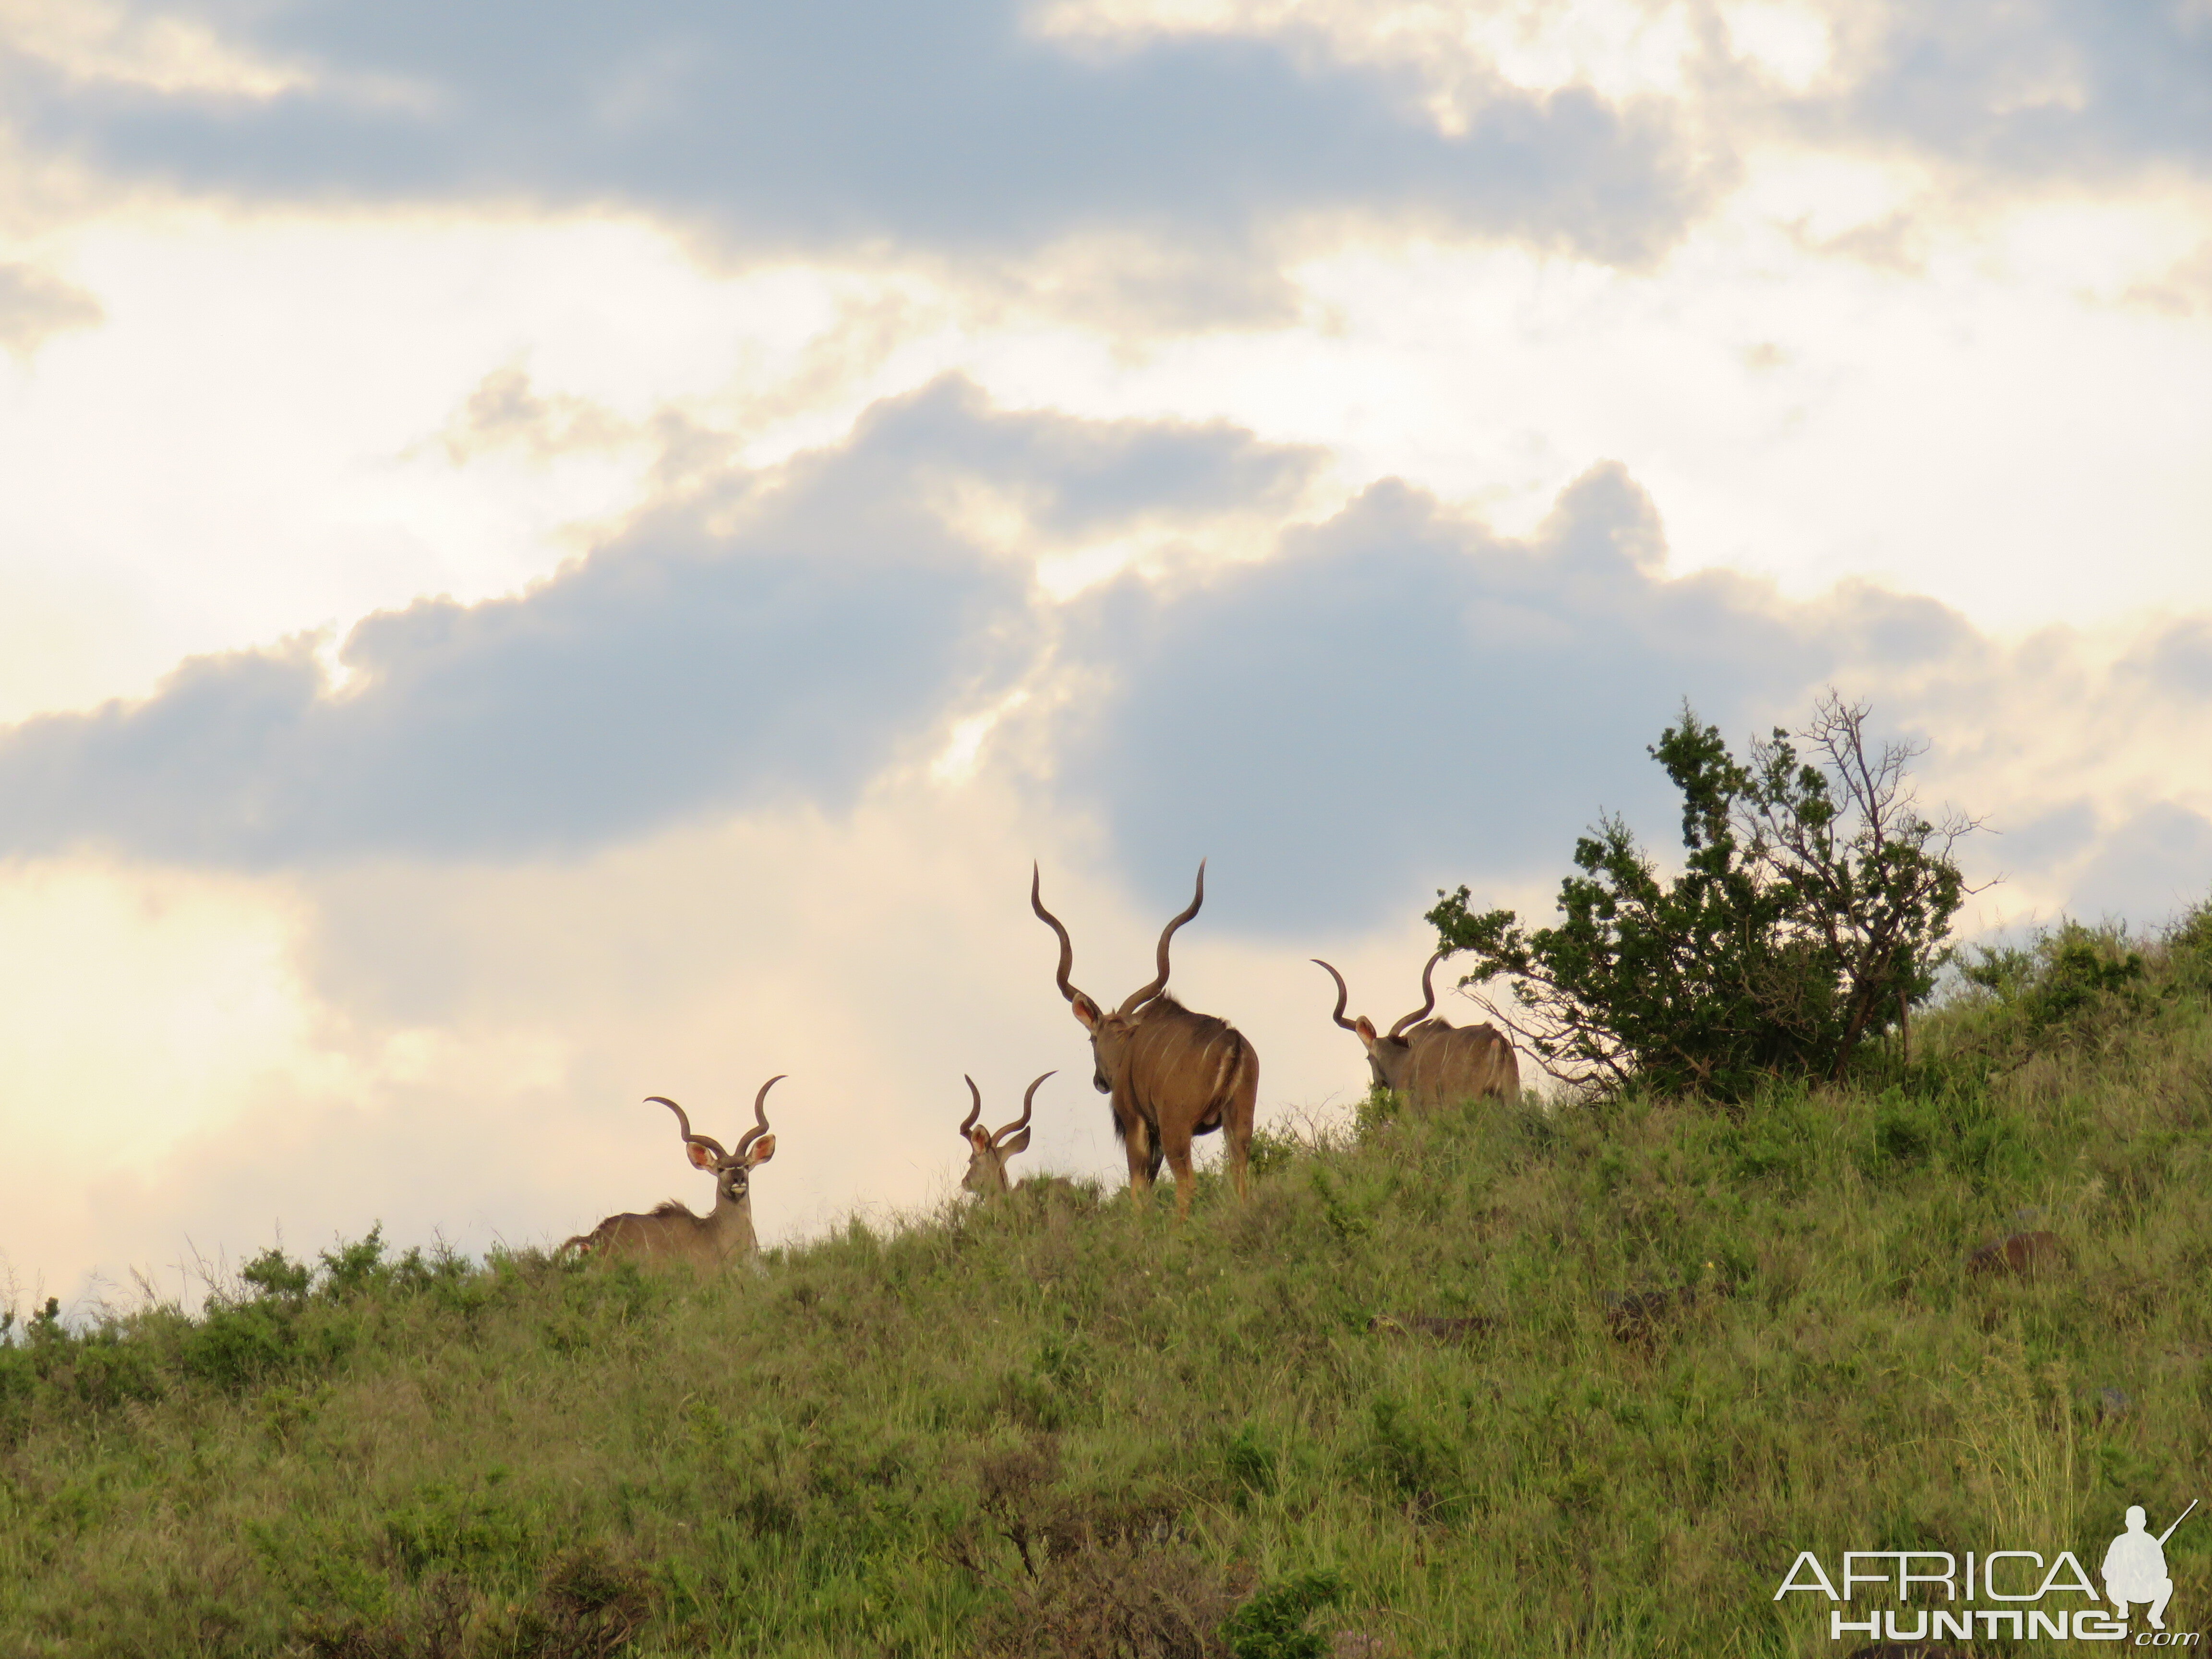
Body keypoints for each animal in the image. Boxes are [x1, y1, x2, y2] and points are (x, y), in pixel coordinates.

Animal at [1026, 863, 1256, 1212]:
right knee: (1240, 1177)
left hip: (1177, 1127)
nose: (1099, 1082)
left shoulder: (1136, 1123)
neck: (1126, 1045)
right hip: (1239, 1122)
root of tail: (1233, 1044)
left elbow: (1138, 1189)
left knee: (1187, 1183)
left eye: (1092, 1040)